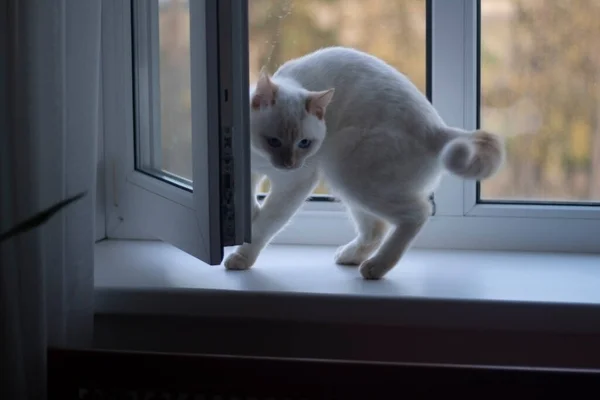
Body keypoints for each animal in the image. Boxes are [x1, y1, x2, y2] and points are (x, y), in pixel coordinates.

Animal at [223, 46, 504, 278]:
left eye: (304, 143)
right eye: (273, 141)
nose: (289, 164)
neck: (259, 158)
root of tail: (438, 130)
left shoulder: (294, 183)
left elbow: (266, 224)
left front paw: (242, 256)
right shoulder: (247, 173)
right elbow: (251, 206)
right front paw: (250, 217)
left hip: (347, 170)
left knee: (418, 213)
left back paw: (376, 267)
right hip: (351, 186)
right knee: (376, 228)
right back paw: (351, 256)